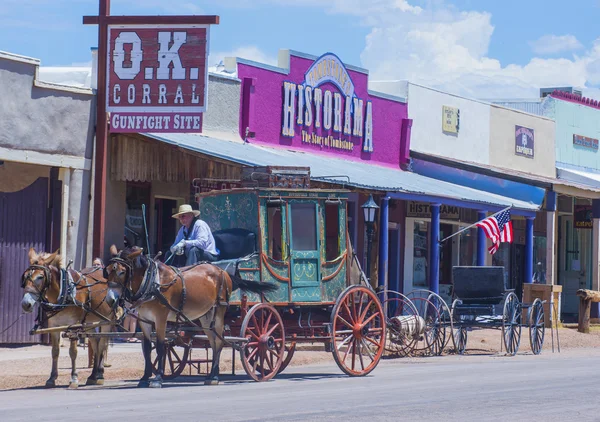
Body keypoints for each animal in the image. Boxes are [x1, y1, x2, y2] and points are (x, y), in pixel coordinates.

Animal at [21, 247, 117, 390]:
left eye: (40, 277)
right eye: (26, 276)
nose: (25, 304)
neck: (64, 292)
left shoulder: (74, 326)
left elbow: (73, 352)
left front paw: (74, 379)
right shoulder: (54, 326)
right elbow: (55, 351)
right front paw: (52, 378)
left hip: (106, 320)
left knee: (102, 344)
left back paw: (99, 375)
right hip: (89, 322)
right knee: (95, 343)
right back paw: (93, 375)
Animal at [104, 244, 278, 390]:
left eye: (121, 271)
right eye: (107, 271)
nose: (110, 300)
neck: (152, 281)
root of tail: (223, 271)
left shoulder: (161, 318)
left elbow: (160, 346)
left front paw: (158, 378)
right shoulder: (145, 320)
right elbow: (147, 349)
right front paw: (145, 378)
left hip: (219, 312)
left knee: (220, 341)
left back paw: (215, 376)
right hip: (206, 317)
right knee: (213, 342)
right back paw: (211, 375)